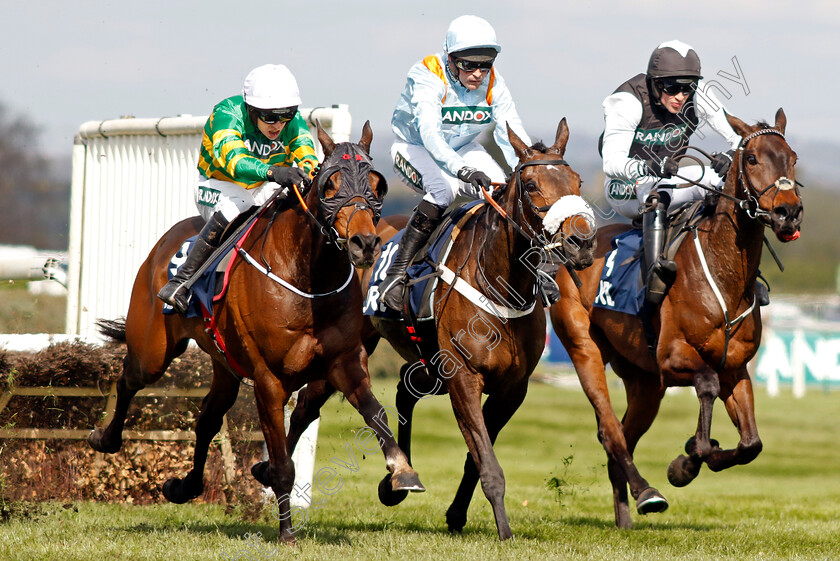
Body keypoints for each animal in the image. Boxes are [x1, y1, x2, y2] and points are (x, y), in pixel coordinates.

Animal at [88, 121, 424, 544]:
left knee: (208, 418)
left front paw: (402, 471)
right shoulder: (268, 379)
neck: (307, 279)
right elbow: (282, 464)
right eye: (329, 185)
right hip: (153, 349)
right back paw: (105, 438)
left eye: (377, 184)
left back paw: (184, 486)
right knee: (129, 379)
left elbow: (374, 412)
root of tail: (165, 243)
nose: (365, 243)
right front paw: (286, 533)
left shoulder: (345, 361)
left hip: (225, 366)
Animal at [282, 119, 596, 540]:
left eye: (577, 181)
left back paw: (394, 483)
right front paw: (504, 531)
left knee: (404, 389)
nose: (582, 242)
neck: (498, 281)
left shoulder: (511, 389)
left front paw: (457, 515)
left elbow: (476, 457)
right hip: (349, 350)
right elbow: (486, 460)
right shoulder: (463, 377)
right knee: (304, 409)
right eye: (531, 185)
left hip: (428, 363)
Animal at [548, 108, 804, 524]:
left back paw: (626, 516)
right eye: (752, 159)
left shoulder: (736, 368)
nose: (789, 212)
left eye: (792, 158)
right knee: (610, 430)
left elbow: (751, 443)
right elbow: (706, 386)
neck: (724, 274)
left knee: (623, 436)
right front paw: (685, 462)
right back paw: (647, 494)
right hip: (585, 348)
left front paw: (697, 454)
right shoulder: (672, 358)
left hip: (644, 382)